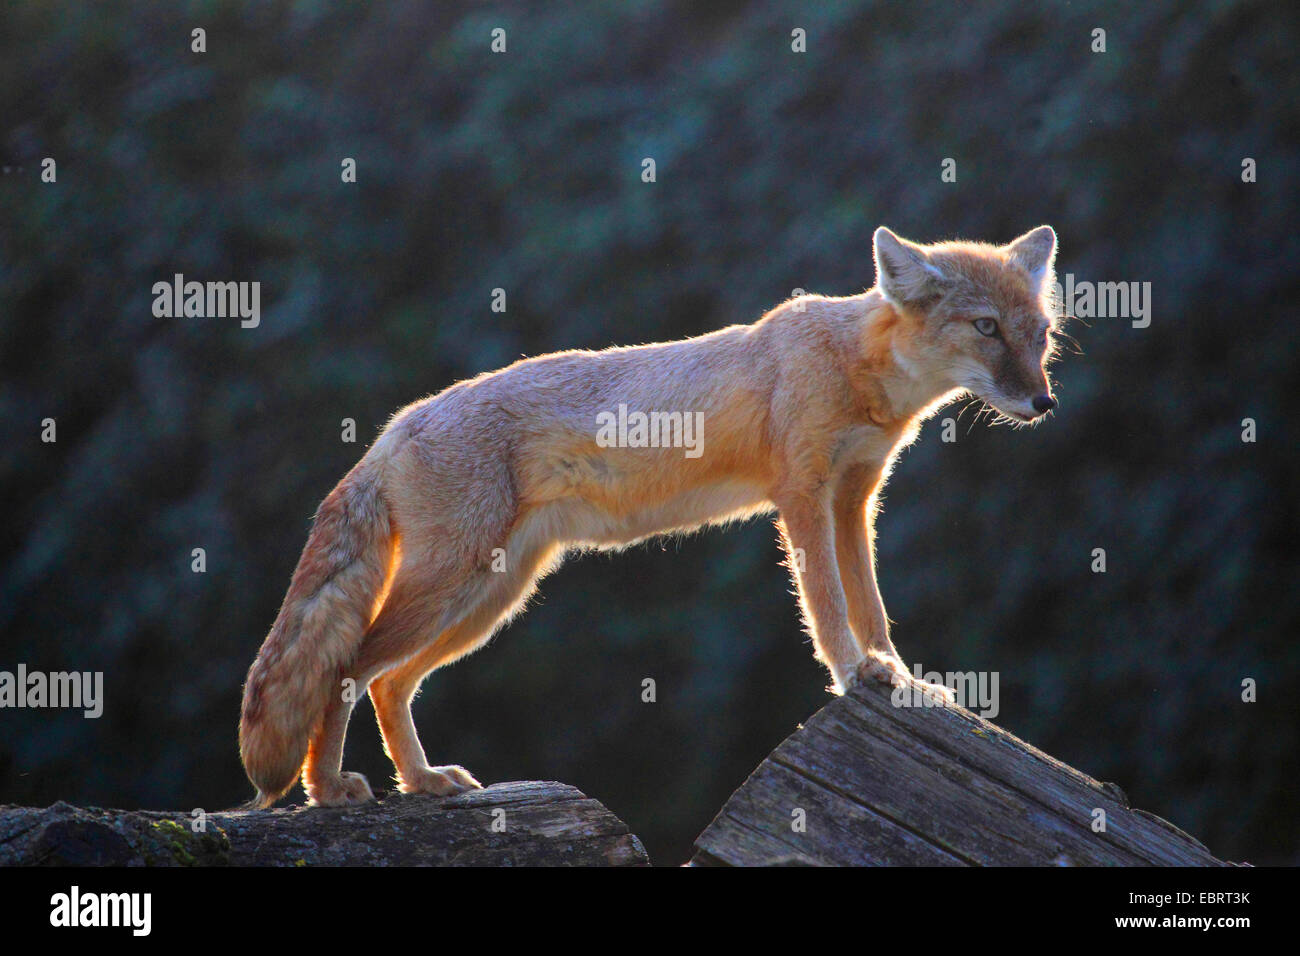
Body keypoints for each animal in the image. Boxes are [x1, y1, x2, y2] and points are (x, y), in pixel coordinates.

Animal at [239, 223, 1060, 806]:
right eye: (986, 328)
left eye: (1040, 333)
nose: (1045, 401)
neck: (855, 365)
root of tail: (393, 427)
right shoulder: (802, 497)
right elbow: (829, 607)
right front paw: (855, 674)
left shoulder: (855, 499)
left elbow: (872, 607)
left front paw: (896, 676)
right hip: (453, 587)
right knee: (346, 669)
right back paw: (326, 792)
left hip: (490, 598)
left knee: (387, 684)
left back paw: (421, 782)